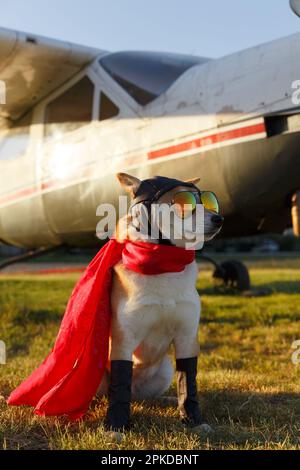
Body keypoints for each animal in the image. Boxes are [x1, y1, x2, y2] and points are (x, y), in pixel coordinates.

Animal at [97, 173, 224, 434]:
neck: (163, 262)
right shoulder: (124, 339)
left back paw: (165, 399)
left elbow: (188, 382)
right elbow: (119, 386)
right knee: (115, 393)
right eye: (184, 202)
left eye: (208, 201)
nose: (219, 219)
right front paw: (115, 425)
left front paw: (193, 420)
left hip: (164, 369)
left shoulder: (187, 335)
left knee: (143, 396)